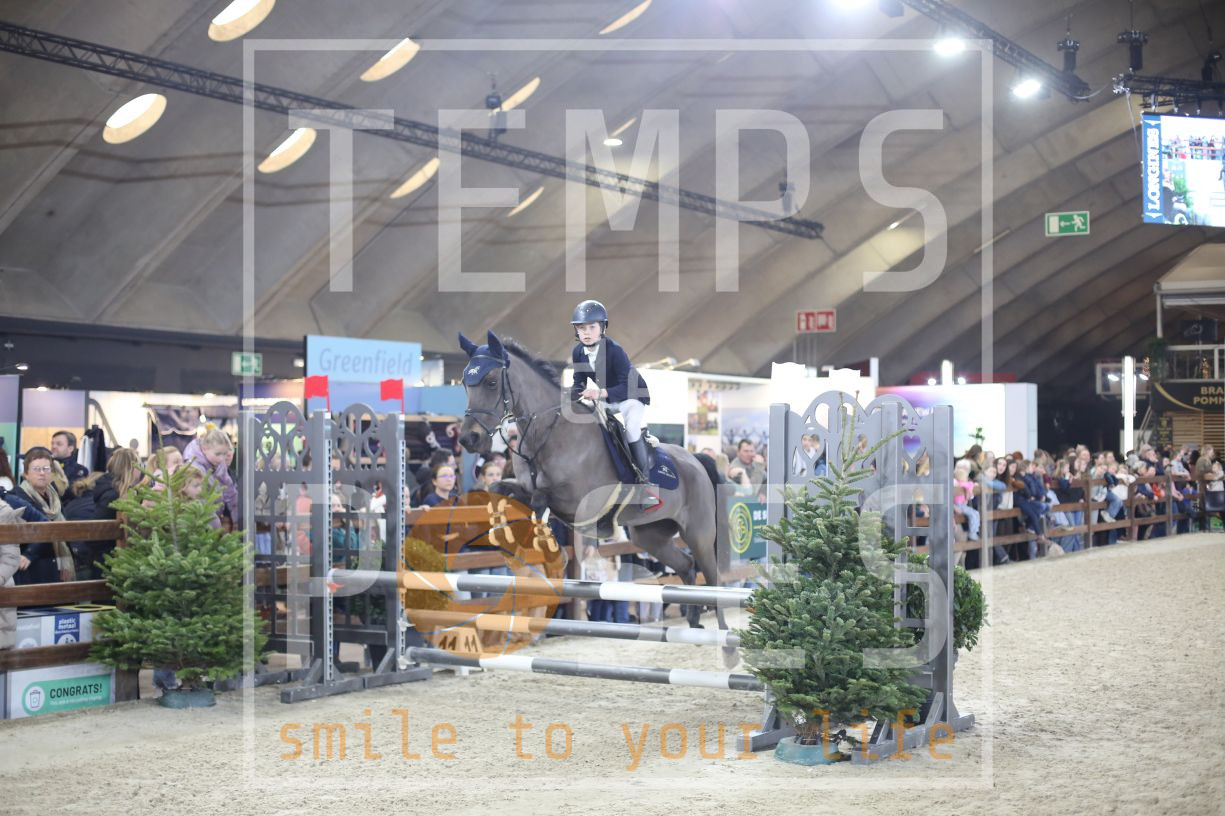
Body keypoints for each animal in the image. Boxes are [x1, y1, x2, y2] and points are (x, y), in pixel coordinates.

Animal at [456, 330, 733, 650]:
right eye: (464, 382)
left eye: (490, 382)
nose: (469, 439)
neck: (549, 434)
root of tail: (697, 460)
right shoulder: (524, 485)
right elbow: (500, 488)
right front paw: (505, 532)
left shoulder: (579, 503)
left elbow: (541, 500)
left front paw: (543, 546)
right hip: (650, 536)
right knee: (686, 565)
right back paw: (693, 622)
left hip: (698, 533)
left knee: (712, 577)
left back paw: (723, 635)